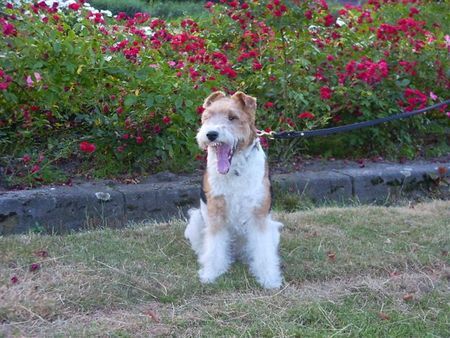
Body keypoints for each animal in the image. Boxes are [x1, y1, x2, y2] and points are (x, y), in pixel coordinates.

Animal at [182, 91, 282, 290]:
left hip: (272, 230)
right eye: (208, 116)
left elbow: (263, 252)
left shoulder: (258, 216)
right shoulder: (216, 214)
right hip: (196, 221)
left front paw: (269, 279)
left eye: (232, 117)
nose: (211, 134)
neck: (235, 170)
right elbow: (214, 248)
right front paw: (210, 274)